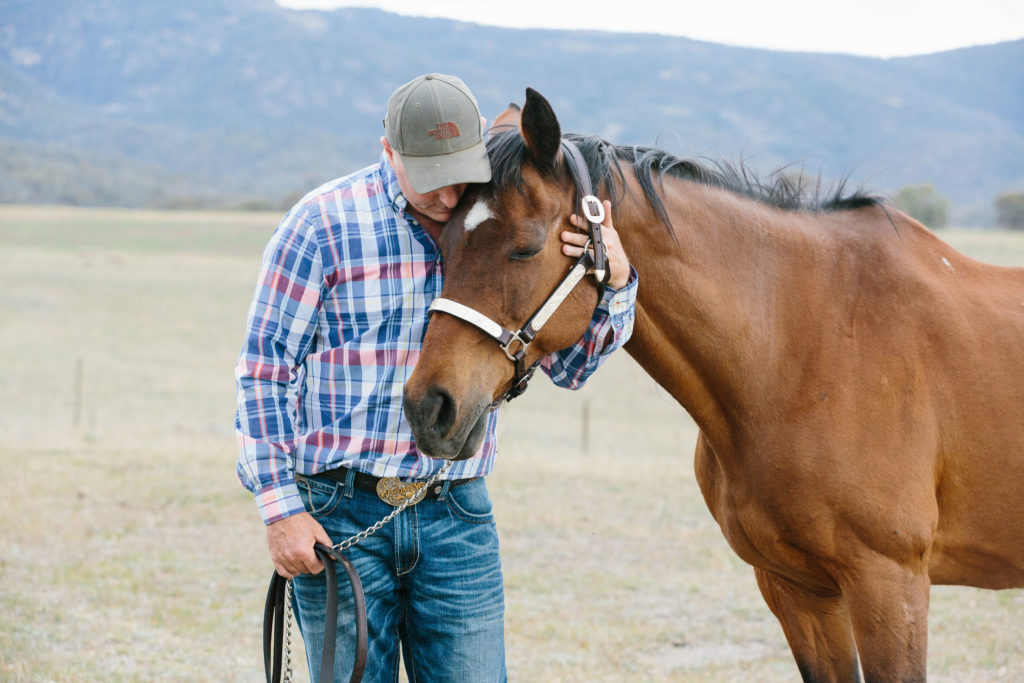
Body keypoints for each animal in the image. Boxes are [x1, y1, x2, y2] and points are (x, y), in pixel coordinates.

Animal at [401, 89, 1024, 683]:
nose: (428, 406)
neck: (802, 346)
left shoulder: (890, 584)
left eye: (525, 247)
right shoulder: (796, 590)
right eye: (442, 243)